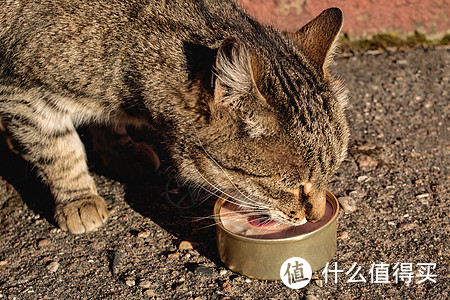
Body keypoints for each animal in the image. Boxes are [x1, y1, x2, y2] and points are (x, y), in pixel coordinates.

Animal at [0, 0, 350, 234]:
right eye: (295, 187)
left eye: (332, 173)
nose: (316, 216)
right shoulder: (21, 93)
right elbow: (58, 150)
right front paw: (78, 198)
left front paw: (120, 150)